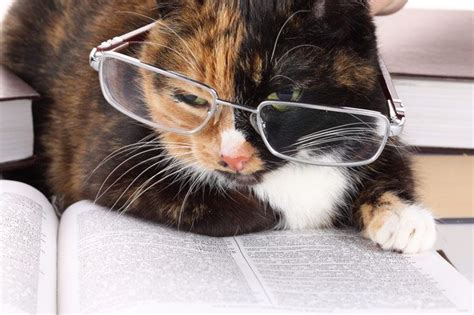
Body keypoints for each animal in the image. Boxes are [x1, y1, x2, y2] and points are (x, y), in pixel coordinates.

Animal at [1, 0, 436, 254]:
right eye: (192, 98)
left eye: (283, 95)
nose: (232, 156)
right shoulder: (111, 156)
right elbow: (248, 212)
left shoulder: (371, 125)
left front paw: (403, 219)